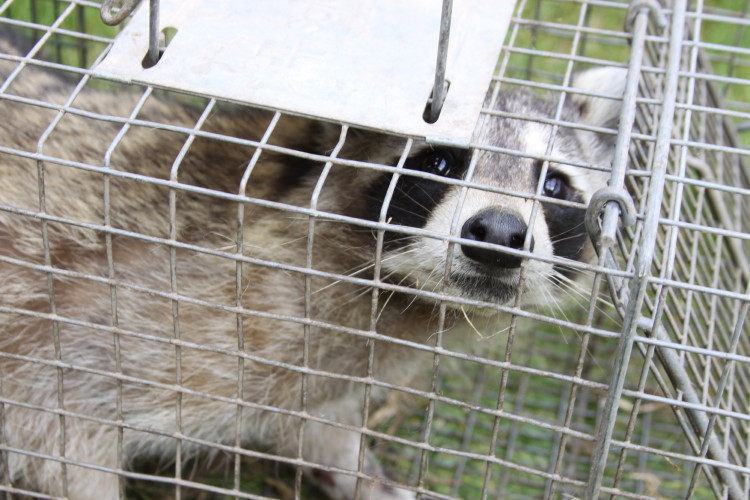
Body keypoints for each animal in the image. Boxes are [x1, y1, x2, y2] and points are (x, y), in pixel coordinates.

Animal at [0, 38, 628, 500]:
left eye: (554, 185)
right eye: (439, 163)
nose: (498, 233)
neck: (398, 299)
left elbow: (320, 429)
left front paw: (364, 477)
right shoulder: (110, 322)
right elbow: (61, 433)